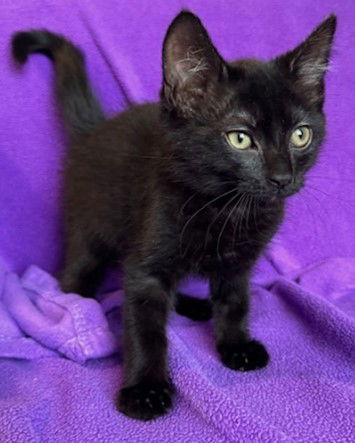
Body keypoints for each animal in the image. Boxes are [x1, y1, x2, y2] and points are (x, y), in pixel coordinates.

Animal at [12, 9, 338, 420]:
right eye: (240, 138)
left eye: (300, 135)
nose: (282, 178)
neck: (224, 206)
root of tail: (93, 130)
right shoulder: (147, 264)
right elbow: (146, 328)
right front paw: (144, 389)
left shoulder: (239, 263)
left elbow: (236, 301)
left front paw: (235, 344)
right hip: (89, 228)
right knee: (75, 279)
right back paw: (74, 307)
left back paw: (194, 305)